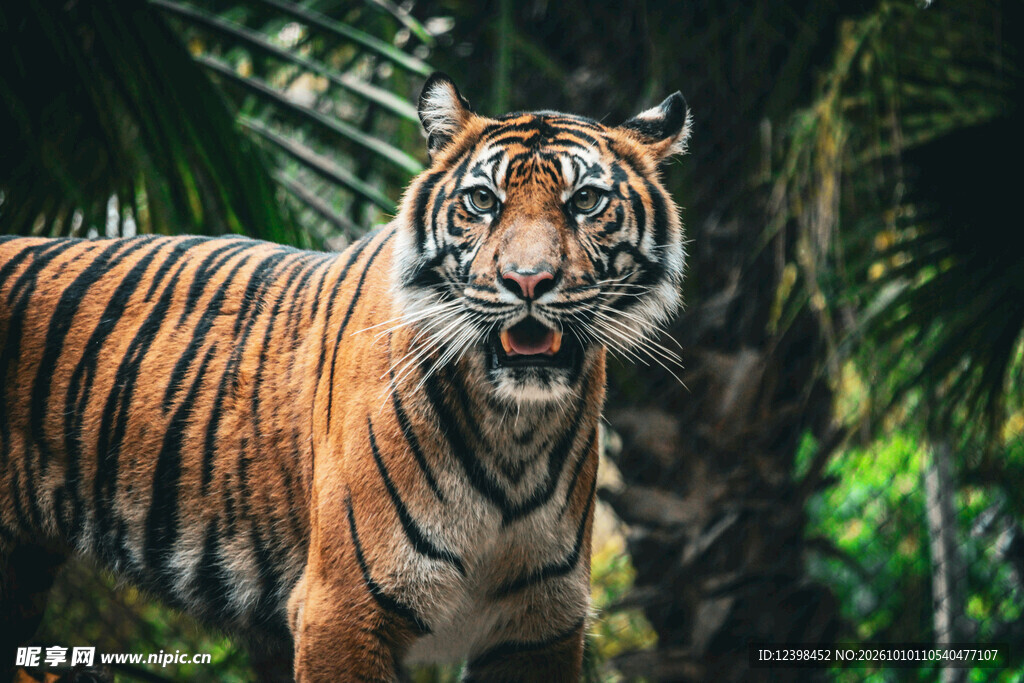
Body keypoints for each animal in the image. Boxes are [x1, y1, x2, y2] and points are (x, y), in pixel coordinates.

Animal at [0, 73, 690, 682]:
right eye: (482, 201)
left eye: (585, 202)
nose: (527, 281)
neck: (516, 429)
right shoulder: (344, 607)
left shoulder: (539, 627)